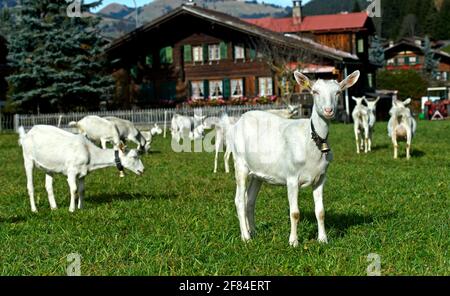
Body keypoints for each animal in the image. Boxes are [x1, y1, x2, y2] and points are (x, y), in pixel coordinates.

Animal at [227, 70, 360, 246]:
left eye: (338, 92)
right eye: (315, 91)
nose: (328, 110)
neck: (310, 141)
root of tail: (238, 121)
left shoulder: (321, 177)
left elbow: (321, 211)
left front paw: (323, 239)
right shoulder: (291, 177)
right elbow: (295, 213)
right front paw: (293, 242)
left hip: (257, 173)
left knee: (250, 200)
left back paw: (253, 231)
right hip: (240, 163)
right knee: (239, 200)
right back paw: (246, 237)